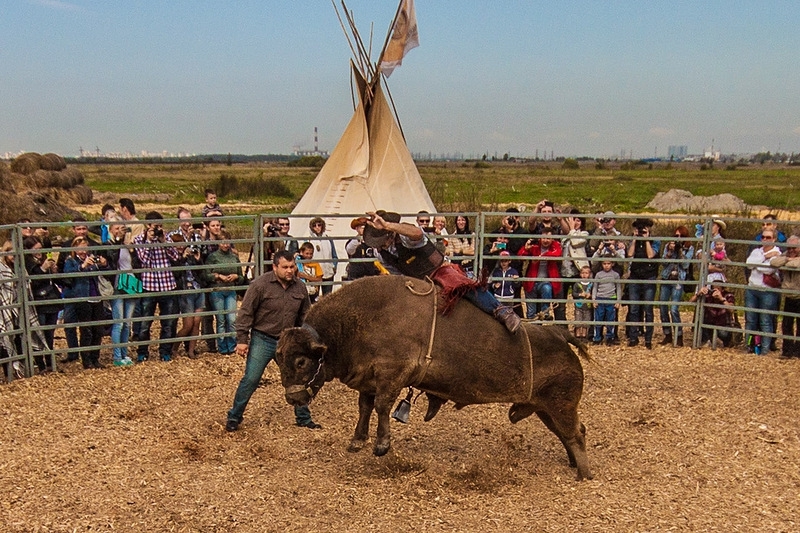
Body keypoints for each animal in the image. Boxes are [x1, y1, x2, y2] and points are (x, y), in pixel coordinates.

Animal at [276, 274, 592, 478]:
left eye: (301, 361)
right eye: (279, 359)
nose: (293, 398)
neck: (359, 319)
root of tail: (559, 335)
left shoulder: (391, 375)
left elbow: (381, 406)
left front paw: (381, 444)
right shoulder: (369, 378)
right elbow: (365, 407)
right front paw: (358, 440)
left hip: (560, 405)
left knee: (574, 433)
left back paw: (585, 473)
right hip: (544, 408)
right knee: (569, 432)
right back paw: (574, 465)